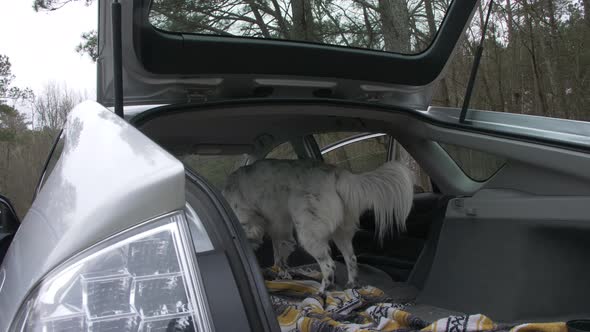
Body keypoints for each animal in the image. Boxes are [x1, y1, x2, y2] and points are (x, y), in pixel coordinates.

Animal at [224, 158, 414, 290]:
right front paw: (282, 273)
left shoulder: (256, 223)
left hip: (309, 233)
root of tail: (335, 172)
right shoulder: (279, 228)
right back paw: (351, 285)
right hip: (341, 233)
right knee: (351, 259)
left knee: (329, 266)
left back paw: (322, 291)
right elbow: (279, 256)